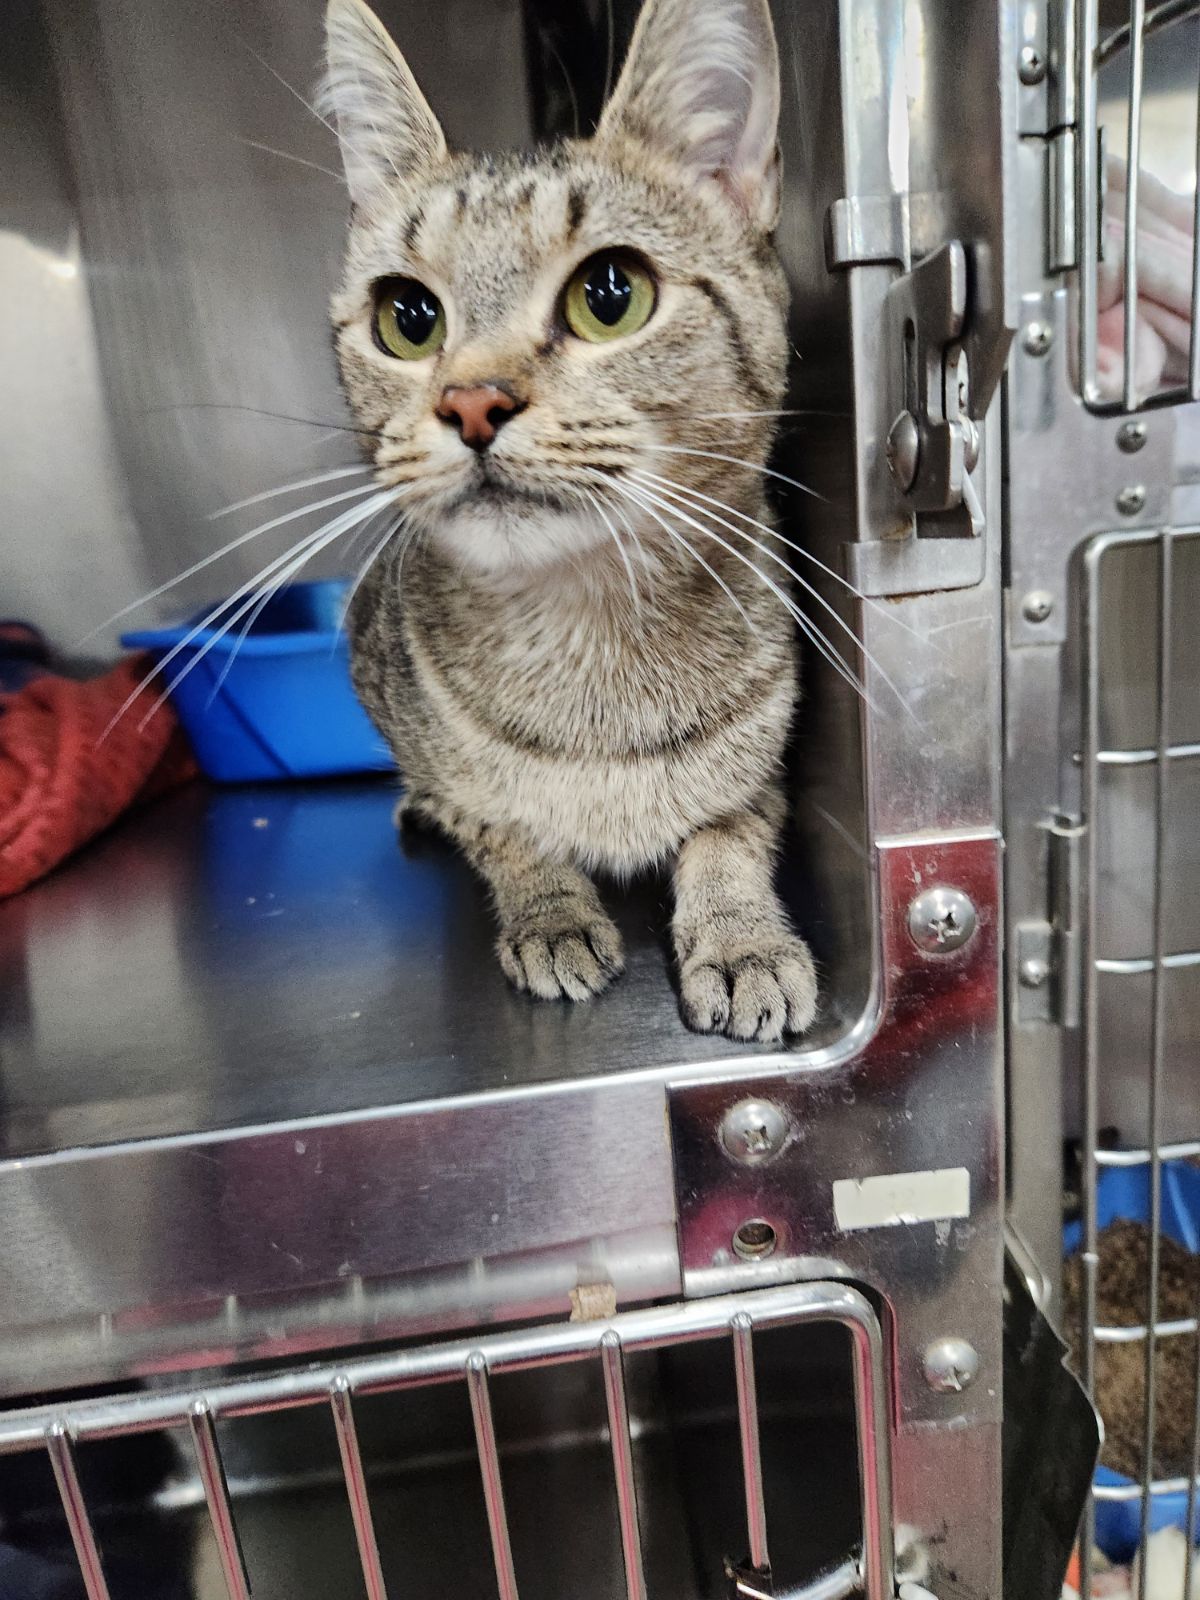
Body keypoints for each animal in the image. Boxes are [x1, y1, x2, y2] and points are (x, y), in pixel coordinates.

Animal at [324, 0, 825, 1036]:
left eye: (610, 295)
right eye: (407, 316)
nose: (471, 402)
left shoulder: (769, 749)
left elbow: (734, 821)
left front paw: (741, 936)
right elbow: (494, 821)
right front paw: (547, 907)